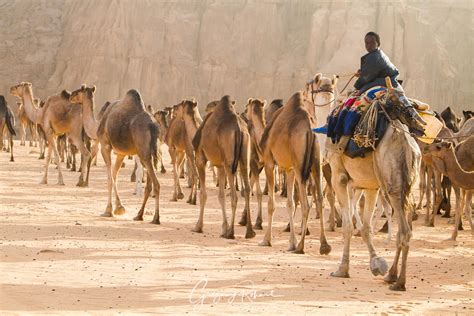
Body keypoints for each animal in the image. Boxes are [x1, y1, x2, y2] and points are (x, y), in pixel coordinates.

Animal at [70, 84, 162, 222]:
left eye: (79, 91)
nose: (70, 96)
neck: (97, 125)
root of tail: (152, 126)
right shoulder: (121, 153)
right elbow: (115, 176)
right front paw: (119, 208)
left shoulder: (105, 146)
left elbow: (110, 178)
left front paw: (108, 210)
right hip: (149, 153)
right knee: (149, 184)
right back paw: (139, 215)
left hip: (143, 152)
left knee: (156, 184)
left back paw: (155, 218)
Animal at [192, 95, 256, 238]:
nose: (206, 108)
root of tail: (239, 129)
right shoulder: (220, 165)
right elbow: (220, 195)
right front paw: (223, 227)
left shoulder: (200, 158)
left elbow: (203, 194)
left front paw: (198, 226)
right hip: (244, 158)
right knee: (247, 189)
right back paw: (249, 231)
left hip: (229, 162)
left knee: (234, 195)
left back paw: (230, 232)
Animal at [258, 90, 332, 254]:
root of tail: (310, 128)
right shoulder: (290, 168)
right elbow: (290, 203)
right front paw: (291, 242)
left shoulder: (269, 162)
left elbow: (272, 203)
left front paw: (266, 239)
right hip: (316, 163)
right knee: (320, 200)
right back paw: (324, 245)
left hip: (300, 166)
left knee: (306, 204)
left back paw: (301, 247)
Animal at [326, 79, 422, 292]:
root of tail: (406, 144)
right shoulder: (370, 186)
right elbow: (366, 226)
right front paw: (376, 264)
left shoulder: (339, 177)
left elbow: (348, 225)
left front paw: (342, 269)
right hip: (406, 185)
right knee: (405, 229)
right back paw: (391, 275)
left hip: (393, 186)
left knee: (405, 231)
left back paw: (399, 282)